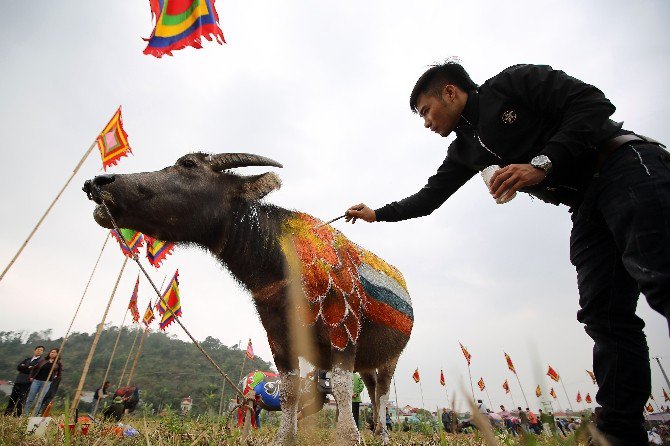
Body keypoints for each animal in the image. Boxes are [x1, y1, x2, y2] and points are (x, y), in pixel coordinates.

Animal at [85, 154, 414, 446]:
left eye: (189, 163)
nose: (97, 182)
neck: (283, 258)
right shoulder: (279, 338)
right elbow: (290, 392)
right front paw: (285, 439)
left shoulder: (343, 331)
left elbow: (343, 388)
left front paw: (349, 438)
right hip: (368, 362)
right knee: (372, 391)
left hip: (391, 358)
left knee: (382, 394)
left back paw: (383, 435)